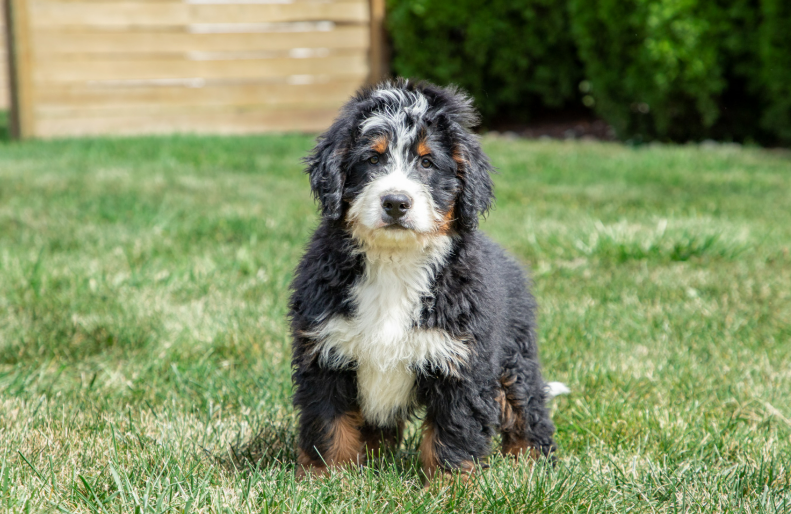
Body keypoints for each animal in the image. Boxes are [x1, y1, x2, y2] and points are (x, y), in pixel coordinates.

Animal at [290, 78, 564, 478]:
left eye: (427, 162)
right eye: (373, 159)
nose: (395, 202)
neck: (394, 261)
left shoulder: (461, 359)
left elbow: (453, 431)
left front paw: (449, 484)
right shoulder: (325, 352)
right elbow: (330, 424)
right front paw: (327, 478)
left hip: (514, 355)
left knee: (525, 407)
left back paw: (531, 463)